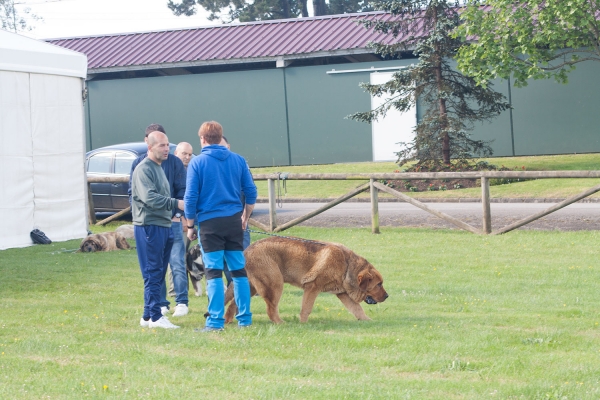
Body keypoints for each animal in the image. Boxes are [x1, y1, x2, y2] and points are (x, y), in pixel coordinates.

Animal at [224, 236, 390, 324]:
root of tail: (246, 251)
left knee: (233, 304)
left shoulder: (343, 294)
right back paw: (280, 323)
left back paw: (228, 320)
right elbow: (306, 307)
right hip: (274, 284)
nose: (387, 296)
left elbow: (357, 309)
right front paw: (303, 323)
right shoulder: (312, 287)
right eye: (378, 284)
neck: (347, 265)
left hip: (251, 286)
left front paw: (367, 320)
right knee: (271, 309)